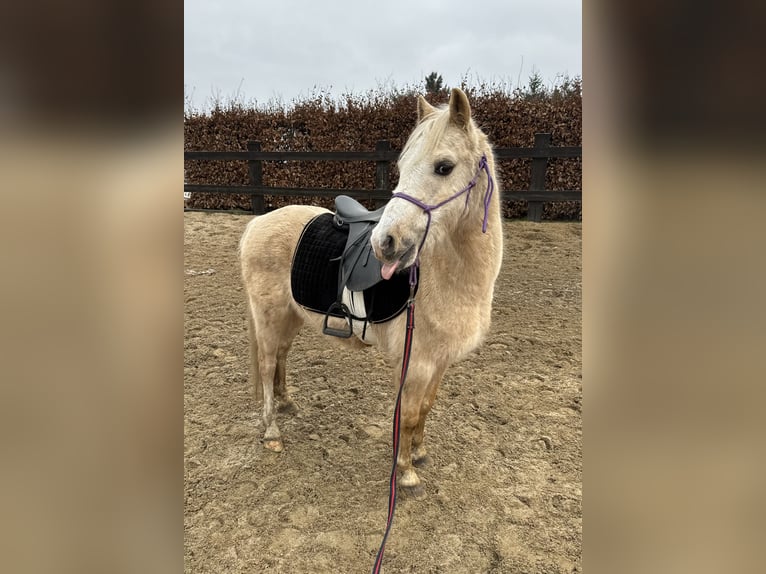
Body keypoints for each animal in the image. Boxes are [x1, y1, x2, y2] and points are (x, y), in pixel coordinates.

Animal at [240, 86, 504, 500]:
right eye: (402, 166)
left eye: (444, 166)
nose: (385, 243)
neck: (447, 277)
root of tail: (257, 223)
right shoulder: (416, 364)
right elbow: (408, 415)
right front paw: (406, 472)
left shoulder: (440, 362)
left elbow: (426, 408)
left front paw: (420, 453)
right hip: (268, 317)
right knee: (267, 366)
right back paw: (271, 431)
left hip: (290, 316)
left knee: (280, 357)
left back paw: (286, 404)